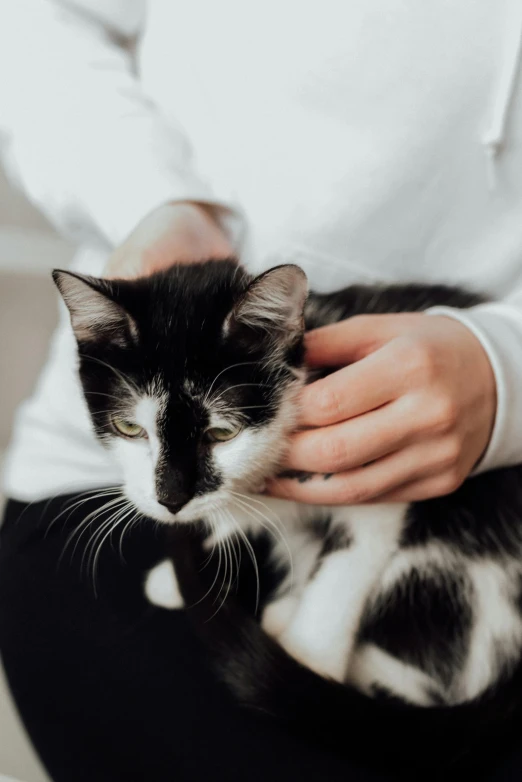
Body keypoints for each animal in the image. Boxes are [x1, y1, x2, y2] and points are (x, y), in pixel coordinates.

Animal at [53, 262, 522, 772]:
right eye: (129, 428)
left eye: (223, 432)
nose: (172, 499)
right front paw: (183, 565)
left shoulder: (386, 466)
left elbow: (352, 559)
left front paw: (310, 658)